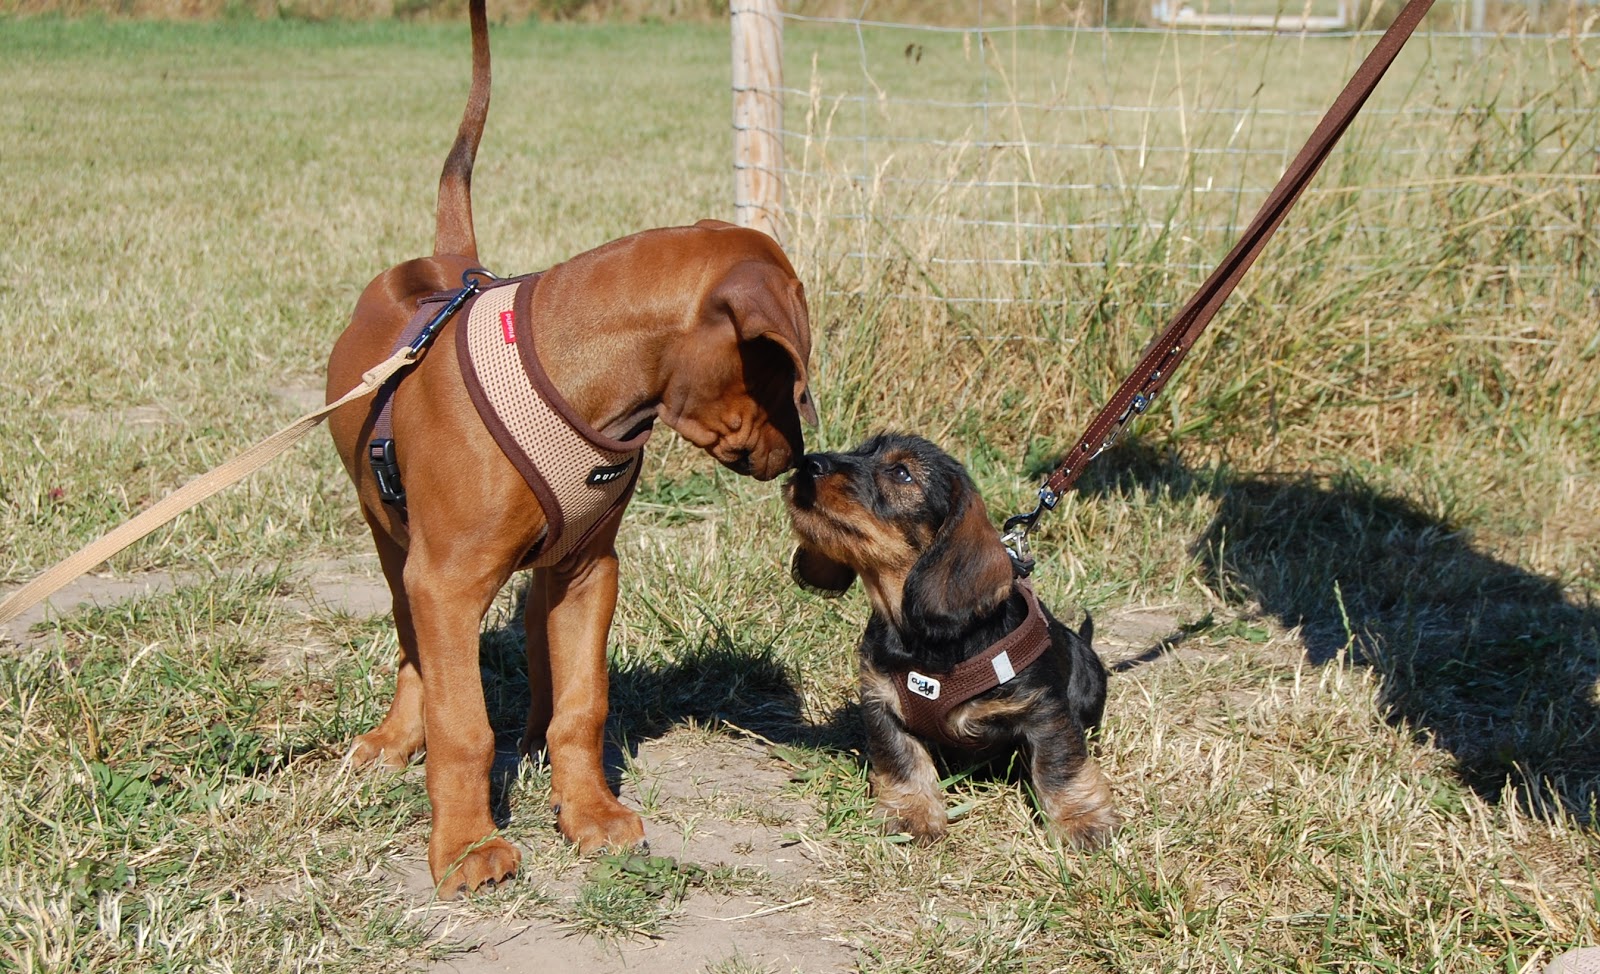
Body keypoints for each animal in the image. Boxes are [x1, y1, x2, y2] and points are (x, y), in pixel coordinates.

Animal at [329, 1, 819, 895]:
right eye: (782, 371)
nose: (797, 455)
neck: (574, 377)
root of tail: (450, 259)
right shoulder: (445, 581)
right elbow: (462, 723)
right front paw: (467, 847)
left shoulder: (592, 568)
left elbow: (583, 703)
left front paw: (587, 812)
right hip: (393, 540)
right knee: (414, 644)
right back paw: (396, 739)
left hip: (549, 562)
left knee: (536, 647)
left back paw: (531, 746)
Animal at [784, 431, 1113, 844]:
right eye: (858, 451)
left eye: (902, 473)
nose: (807, 463)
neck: (921, 638)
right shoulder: (881, 704)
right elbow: (902, 760)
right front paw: (911, 812)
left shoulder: (1045, 711)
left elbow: (1059, 765)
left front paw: (1080, 819)